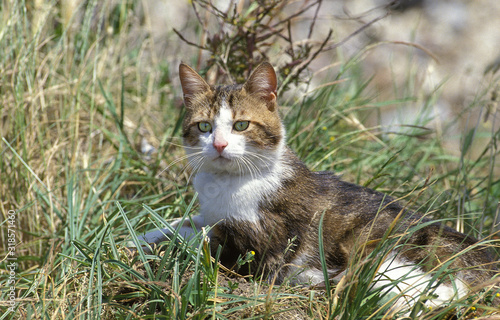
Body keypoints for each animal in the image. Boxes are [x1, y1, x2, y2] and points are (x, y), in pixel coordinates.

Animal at [135, 61, 498, 308]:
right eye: (204, 126)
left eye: (241, 125)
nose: (220, 145)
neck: (224, 184)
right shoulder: (211, 214)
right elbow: (184, 221)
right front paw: (142, 233)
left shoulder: (261, 246)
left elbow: (202, 237)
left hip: (373, 246)